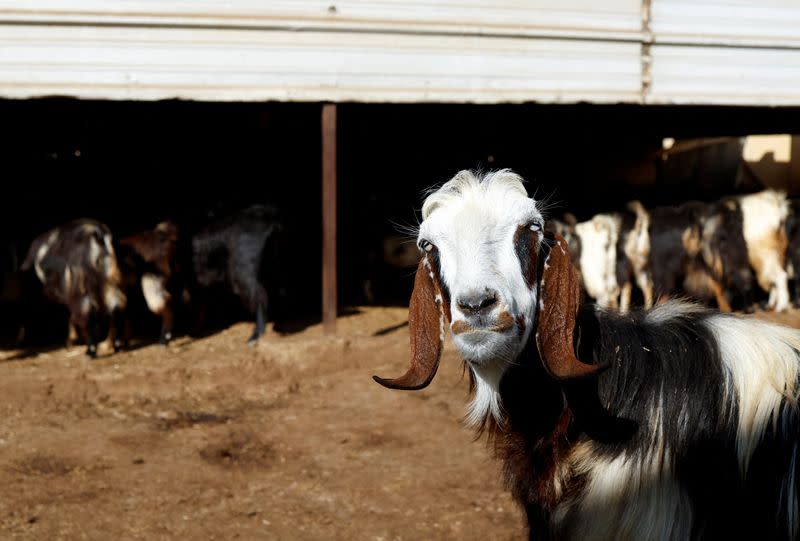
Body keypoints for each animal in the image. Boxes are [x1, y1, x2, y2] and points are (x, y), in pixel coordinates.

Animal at [21, 217, 126, 356]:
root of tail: (96, 233)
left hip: (81, 285)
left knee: (88, 312)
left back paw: (90, 350)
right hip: (111, 280)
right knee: (115, 307)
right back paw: (117, 346)